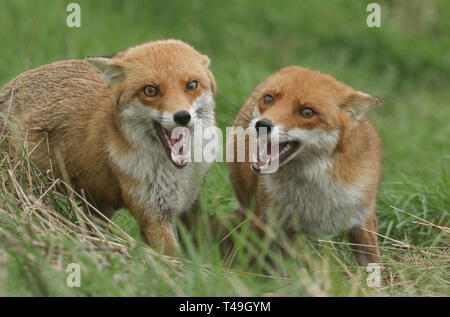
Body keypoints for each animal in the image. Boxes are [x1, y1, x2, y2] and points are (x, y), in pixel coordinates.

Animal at [0, 39, 216, 253]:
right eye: (150, 90)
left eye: (192, 85)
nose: (182, 116)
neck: (174, 173)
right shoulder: (153, 214)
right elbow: (172, 257)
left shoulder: (180, 207)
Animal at [227, 65, 382, 266]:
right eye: (269, 99)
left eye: (307, 112)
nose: (262, 124)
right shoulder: (265, 220)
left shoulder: (363, 221)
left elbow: (373, 264)